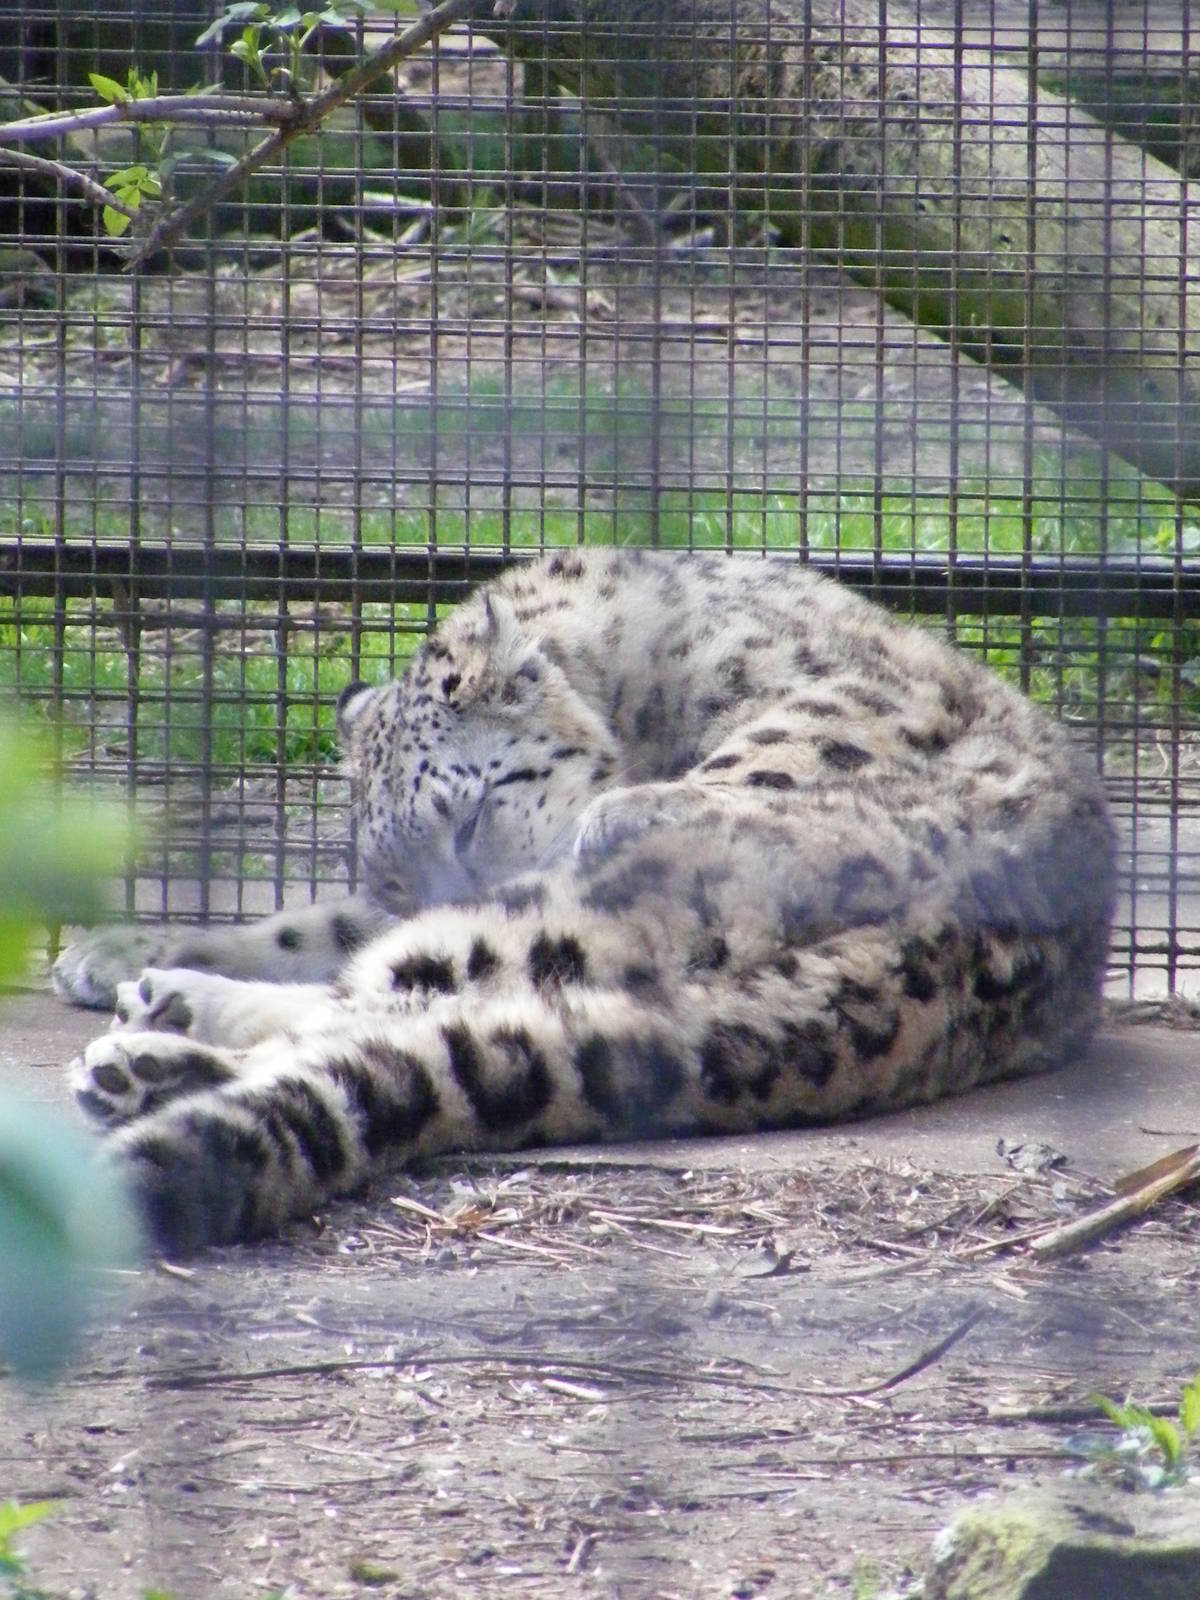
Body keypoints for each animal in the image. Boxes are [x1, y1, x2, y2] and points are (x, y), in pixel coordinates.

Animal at [55, 547, 1116, 1255]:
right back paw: (152, 1042)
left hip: (589, 910)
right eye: (395, 871)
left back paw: (150, 1044)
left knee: (397, 998)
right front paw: (114, 948)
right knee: (393, 996)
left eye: (470, 813)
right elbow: (312, 925)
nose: (446, 888)